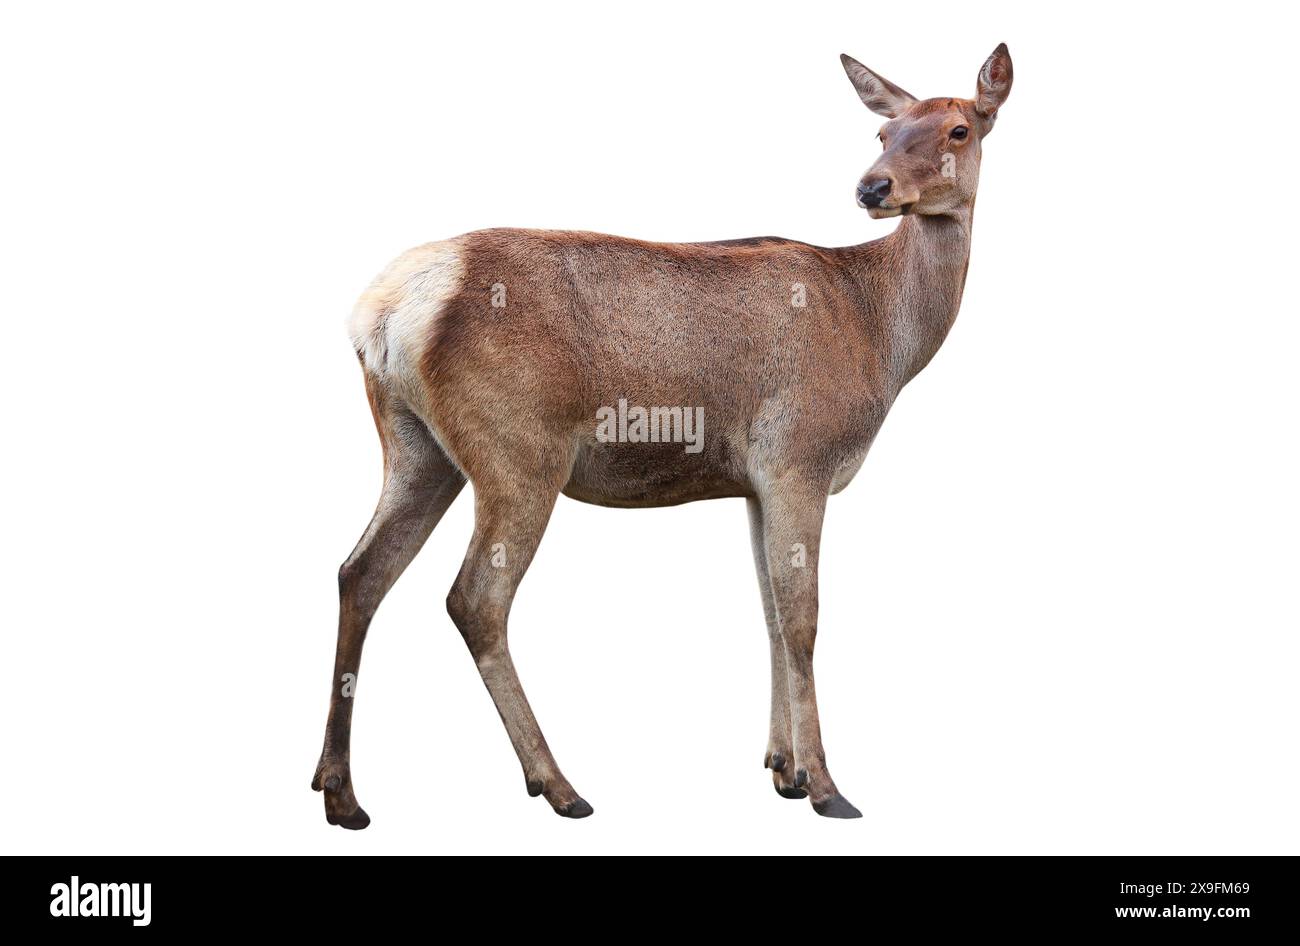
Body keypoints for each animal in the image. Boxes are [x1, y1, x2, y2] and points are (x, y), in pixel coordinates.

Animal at [313, 44, 1013, 827]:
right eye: (883, 133)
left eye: (958, 129)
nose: (872, 187)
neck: (884, 339)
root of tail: (383, 310)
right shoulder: (800, 457)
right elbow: (803, 618)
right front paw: (827, 787)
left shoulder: (753, 483)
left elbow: (769, 613)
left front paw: (782, 769)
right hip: (518, 452)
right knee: (473, 599)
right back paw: (559, 784)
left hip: (416, 447)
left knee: (359, 572)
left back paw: (341, 793)